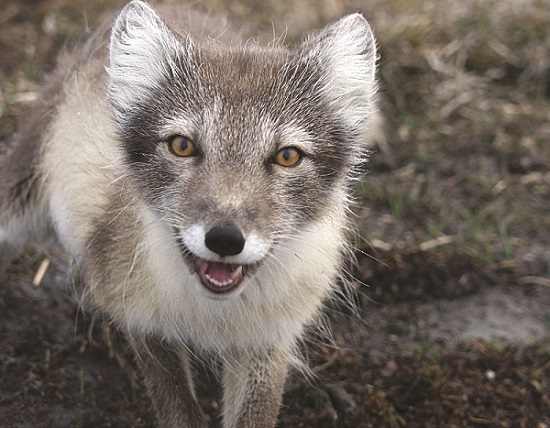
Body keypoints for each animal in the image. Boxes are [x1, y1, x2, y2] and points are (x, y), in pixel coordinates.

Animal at [0, 1, 380, 426]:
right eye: (182, 146)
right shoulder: (141, 317)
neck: (214, 313)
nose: (225, 239)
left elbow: (257, 410)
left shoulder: (268, 341)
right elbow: (178, 407)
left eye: (287, 156)